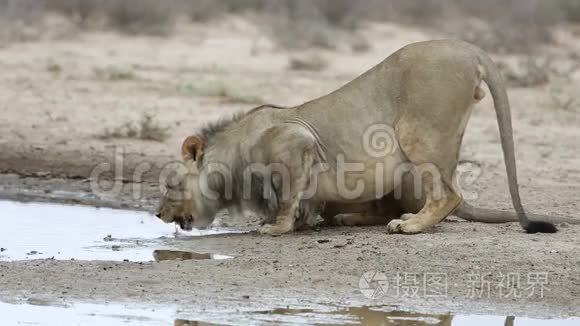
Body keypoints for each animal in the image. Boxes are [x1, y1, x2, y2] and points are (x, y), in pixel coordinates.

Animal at [154, 40, 576, 234]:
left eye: (172, 184)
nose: (157, 214)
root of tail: (469, 48)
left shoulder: (296, 143)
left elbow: (288, 197)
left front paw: (276, 227)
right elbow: (303, 201)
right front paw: (303, 221)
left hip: (416, 135)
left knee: (449, 195)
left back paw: (411, 225)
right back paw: (357, 218)